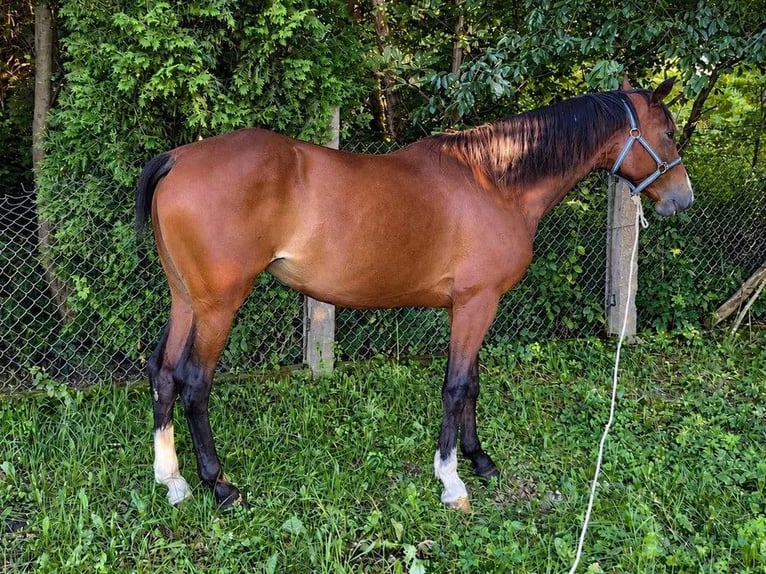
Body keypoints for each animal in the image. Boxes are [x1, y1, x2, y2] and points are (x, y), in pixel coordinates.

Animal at [135, 78, 693, 511]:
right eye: (667, 132)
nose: (682, 198)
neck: (495, 182)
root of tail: (179, 157)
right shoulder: (477, 302)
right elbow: (455, 386)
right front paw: (451, 479)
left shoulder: (474, 305)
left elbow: (472, 383)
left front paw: (479, 458)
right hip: (219, 305)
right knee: (193, 383)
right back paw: (219, 485)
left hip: (186, 300)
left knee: (162, 373)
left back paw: (173, 480)